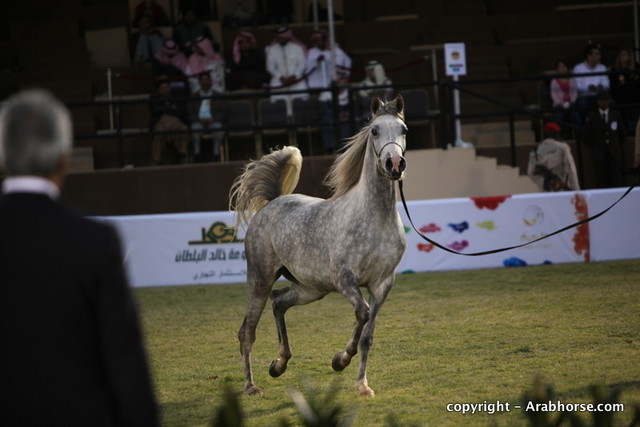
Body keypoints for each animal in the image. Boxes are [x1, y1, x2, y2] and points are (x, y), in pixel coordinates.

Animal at [230, 95, 408, 397]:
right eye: (374, 131)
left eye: (404, 130)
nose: (394, 164)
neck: (375, 219)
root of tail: (272, 202)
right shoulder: (344, 279)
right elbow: (362, 313)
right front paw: (340, 361)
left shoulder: (382, 284)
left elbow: (367, 337)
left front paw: (362, 385)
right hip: (260, 279)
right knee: (247, 332)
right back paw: (251, 386)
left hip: (311, 288)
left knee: (279, 302)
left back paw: (279, 365)